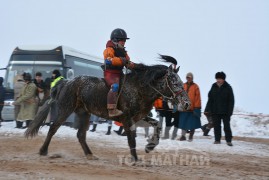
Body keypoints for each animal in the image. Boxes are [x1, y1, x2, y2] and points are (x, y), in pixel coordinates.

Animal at [24, 54, 189, 162]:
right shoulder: (127, 119)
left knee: (80, 135)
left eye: (181, 82)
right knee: (53, 128)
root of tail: (65, 82)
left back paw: (90, 154)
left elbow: (157, 125)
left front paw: (150, 146)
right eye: (175, 82)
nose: (187, 103)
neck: (139, 88)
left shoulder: (139, 117)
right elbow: (131, 139)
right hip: (66, 109)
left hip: (84, 113)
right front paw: (135, 159)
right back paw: (43, 150)